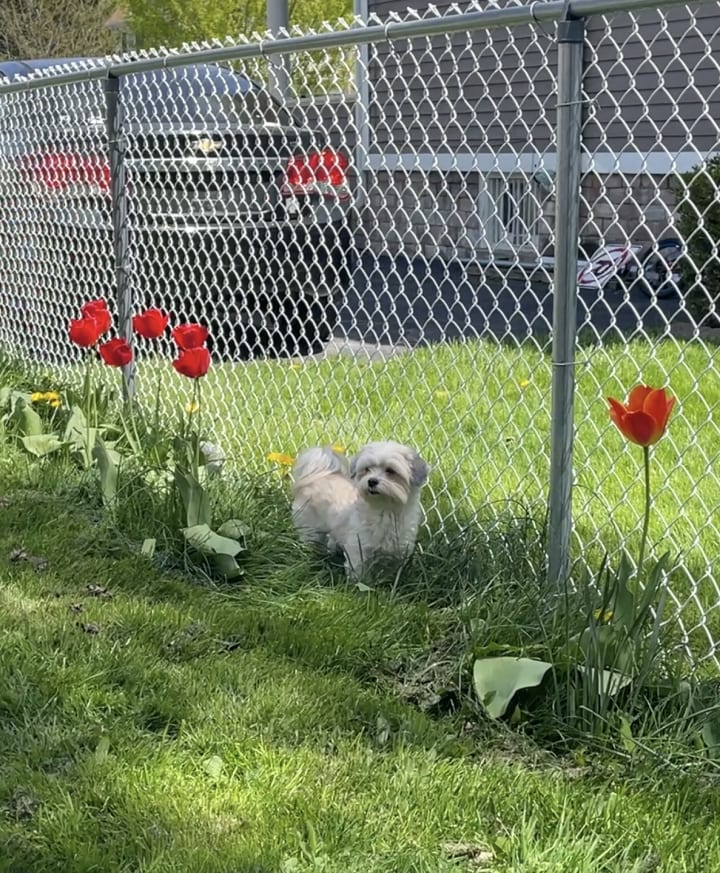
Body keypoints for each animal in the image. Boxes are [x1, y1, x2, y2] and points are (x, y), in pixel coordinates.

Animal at [291, 441, 430, 575]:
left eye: (391, 471)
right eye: (367, 469)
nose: (371, 481)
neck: (385, 510)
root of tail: (320, 475)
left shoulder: (399, 553)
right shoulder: (359, 549)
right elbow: (359, 574)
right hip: (310, 527)